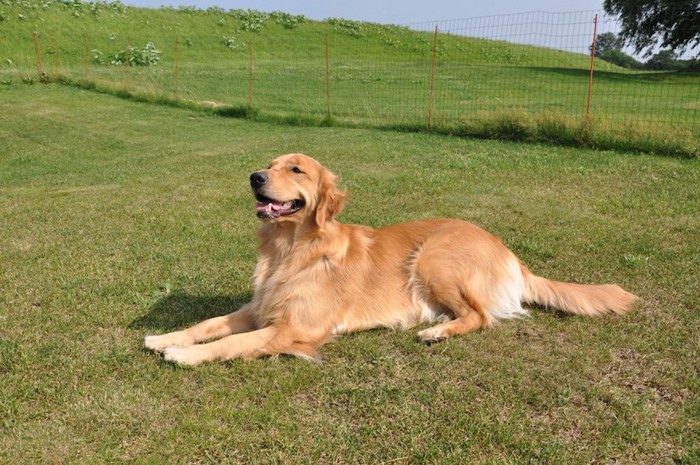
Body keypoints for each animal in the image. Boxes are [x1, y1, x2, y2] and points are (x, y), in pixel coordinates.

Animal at [144, 154, 640, 364]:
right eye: (269, 163)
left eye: (296, 169)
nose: (254, 176)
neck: (292, 250)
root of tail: (507, 250)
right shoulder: (257, 307)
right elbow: (209, 324)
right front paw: (165, 336)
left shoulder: (295, 328)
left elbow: (232, 343)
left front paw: (182, 355)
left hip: (433, 259)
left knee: (481, 316)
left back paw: (437, 331)